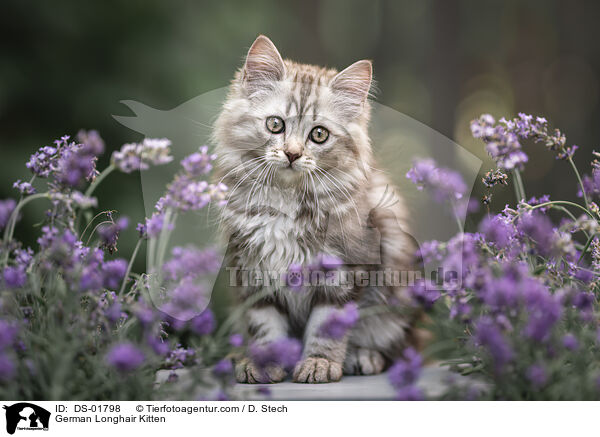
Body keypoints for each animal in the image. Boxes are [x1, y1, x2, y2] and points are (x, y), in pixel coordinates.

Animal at [214, 35, 418, 382]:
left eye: (319, 134)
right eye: (275, 125)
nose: (293, 153)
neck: (286, 201)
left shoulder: (343, 270)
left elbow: (327, 327)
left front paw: (319, 363)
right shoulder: (252, 271)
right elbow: (264, 327)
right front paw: (263, 363)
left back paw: (363, 357)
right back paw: (237, 358)